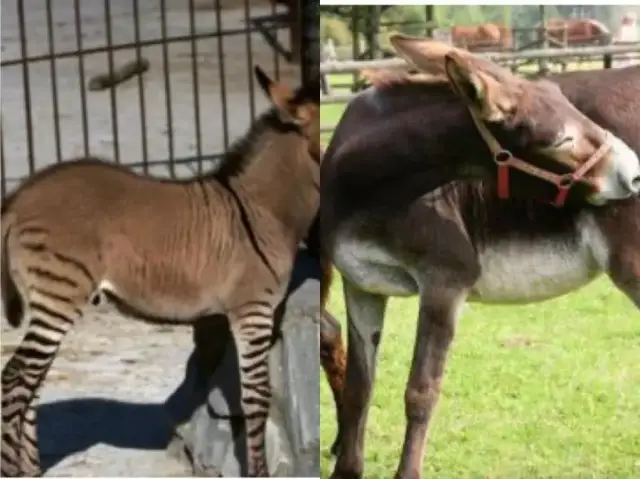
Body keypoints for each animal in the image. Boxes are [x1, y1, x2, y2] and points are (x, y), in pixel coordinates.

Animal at [0, 65, 320, 478]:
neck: (263, 211)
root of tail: (18, 199)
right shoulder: (252, 313)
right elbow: (257, 399)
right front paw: (259, 471)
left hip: (52, 301)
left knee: (31, 383)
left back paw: (30, 468)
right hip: (59, 295)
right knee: (14, 381)